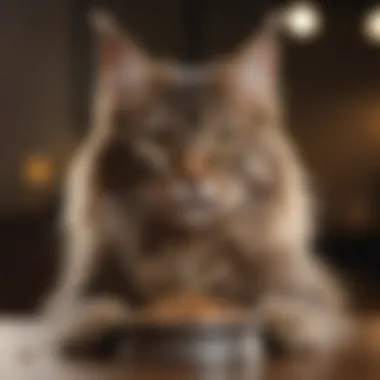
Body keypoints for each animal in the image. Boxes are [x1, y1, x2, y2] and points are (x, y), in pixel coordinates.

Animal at [44, 9, 350, 356]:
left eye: (225, 139)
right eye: (158, 144)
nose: (193, 177)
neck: (191, 253)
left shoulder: (312, 287)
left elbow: (304, 309)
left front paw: (284, 321)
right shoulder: (73, 291)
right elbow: (74, 311)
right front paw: (98, 320)